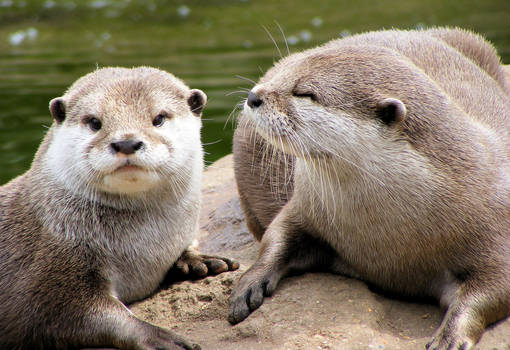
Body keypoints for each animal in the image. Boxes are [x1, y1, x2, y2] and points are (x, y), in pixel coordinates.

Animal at [0, 66, 239, 350]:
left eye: (158, 118)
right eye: (94, 122)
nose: (126, 143)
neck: (141, 248)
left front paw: (199, 260)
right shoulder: (51, 272)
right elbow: (71, 313)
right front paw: (160, 336)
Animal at [230, 28, 510, 350]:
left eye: (304, 93)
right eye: (284, 74)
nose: (254, 96)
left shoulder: (495, 225)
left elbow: (493, 288)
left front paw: (450, 334)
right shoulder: (306, 203)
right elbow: (277, 236)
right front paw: (250, 282)